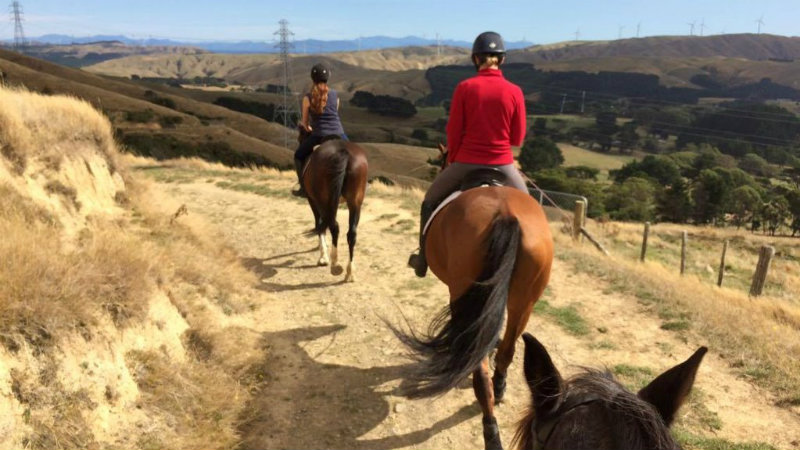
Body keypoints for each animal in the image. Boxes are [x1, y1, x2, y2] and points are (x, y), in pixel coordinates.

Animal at [298, 126, 368, 282]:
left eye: (300, 138)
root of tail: (344, 152)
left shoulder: (313, 200)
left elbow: (319, 224)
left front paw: (323, 256)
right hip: (354, 202)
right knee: (351, 233)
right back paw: (350, 272)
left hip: (323, 200)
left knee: (333, 226)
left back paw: (335, 263)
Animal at [390, 144, 552, 450]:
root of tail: (506, 213)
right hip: (524, 300)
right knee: (507, 349)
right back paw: (499, 388)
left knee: (480, 368)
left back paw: (491, 431)